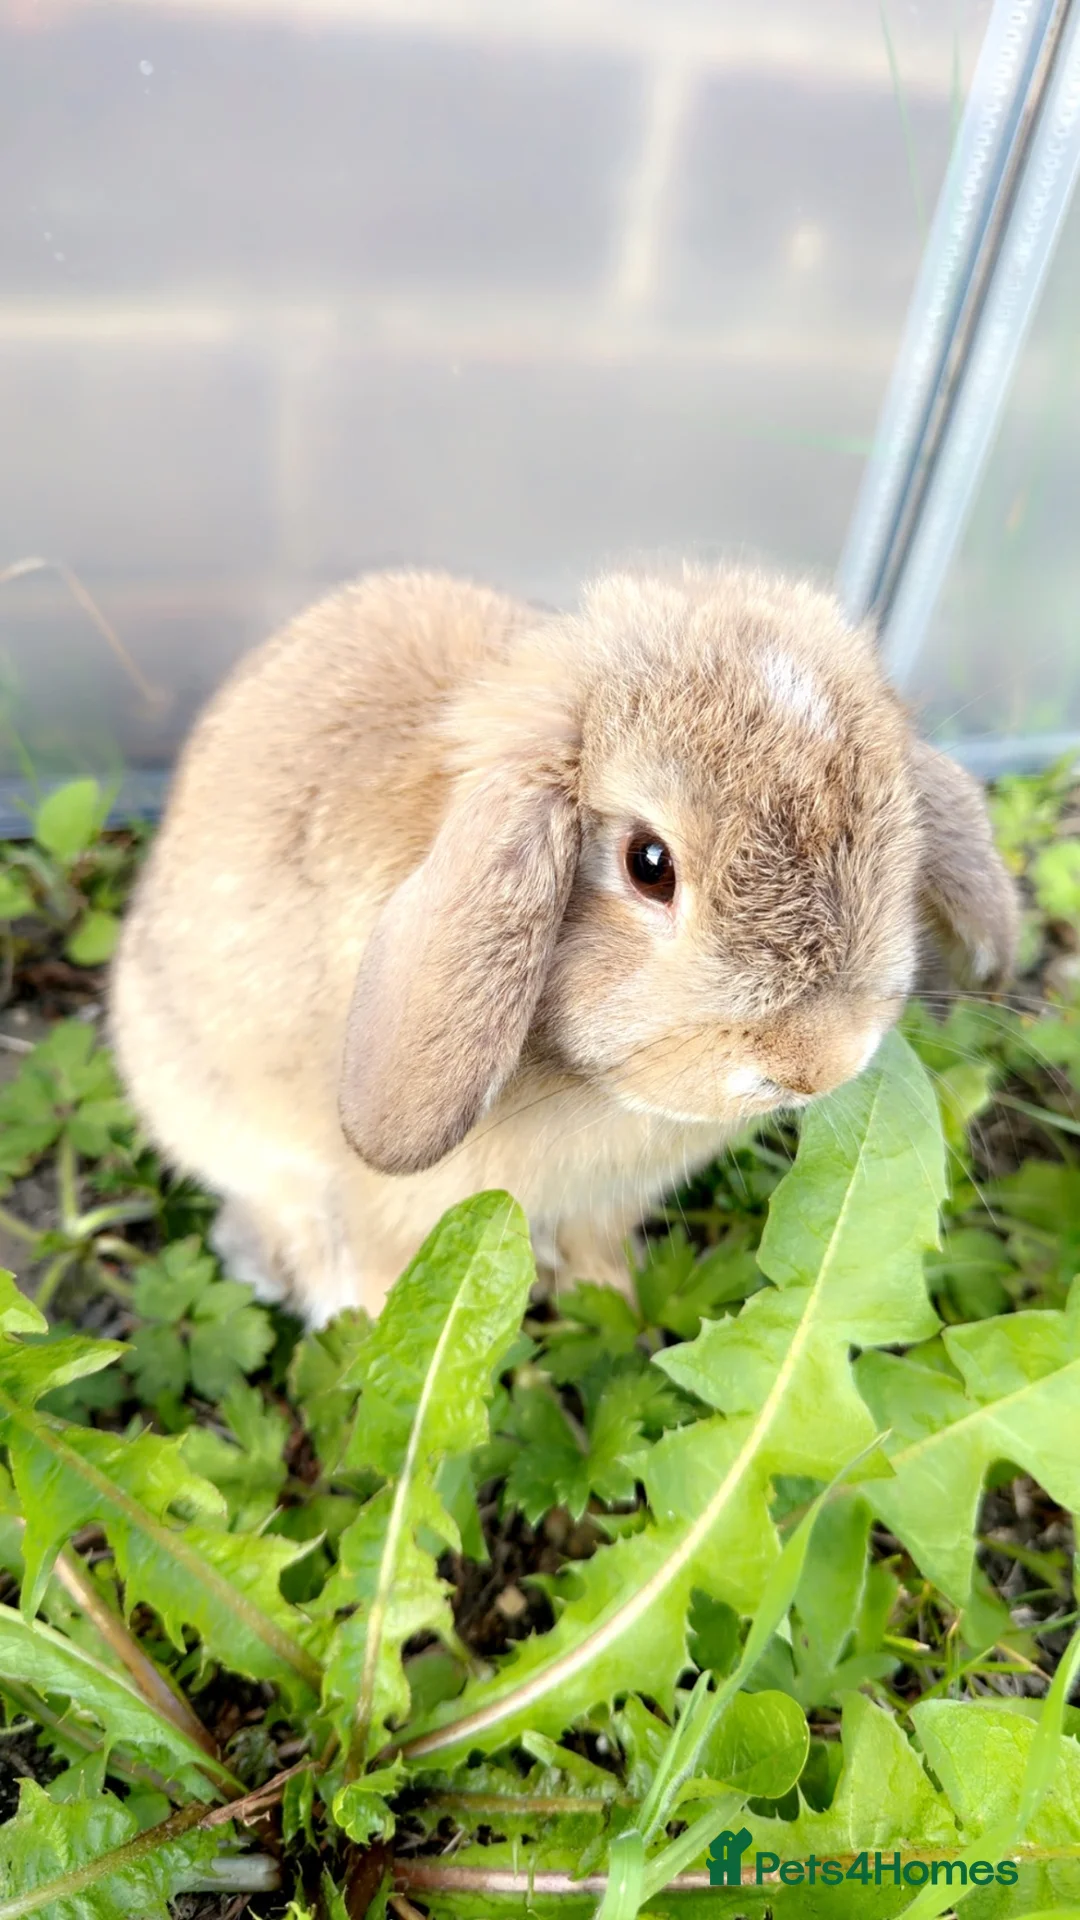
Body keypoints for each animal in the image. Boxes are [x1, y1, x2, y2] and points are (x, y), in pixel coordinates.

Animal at [110, 564, 1017, 1326]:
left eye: (896, 828)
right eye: (649, 865)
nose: (819, 1065)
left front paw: (611, 1303)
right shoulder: (391, 1209)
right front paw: (366, 1332)